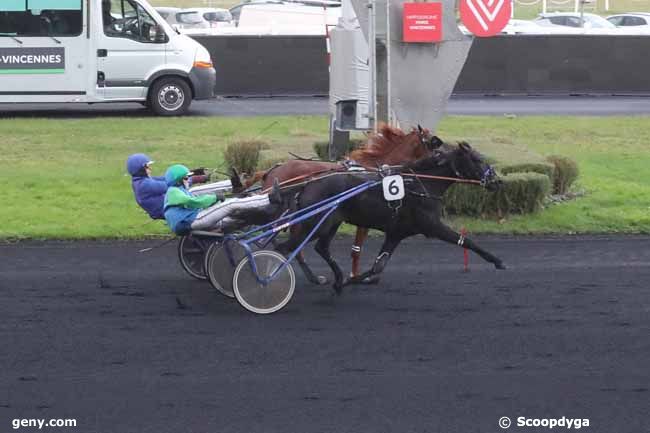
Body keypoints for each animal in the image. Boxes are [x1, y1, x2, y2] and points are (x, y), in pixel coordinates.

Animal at [240, 124, 438, 284]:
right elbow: (357, 249)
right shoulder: (364, 218)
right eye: (434, 144)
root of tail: (270, 171)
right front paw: (357, 276)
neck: (376, 170)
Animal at [274, 140, 506, 292]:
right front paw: (497, 261)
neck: (421, 184)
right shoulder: (432, 227)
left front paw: (351, 281)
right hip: (316, 223)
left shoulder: (397, 233)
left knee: (320, 248)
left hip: (331, 222)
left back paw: (336, 278)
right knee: (285, 248)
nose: (497, 181)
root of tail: (306, 184)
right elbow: (466, 241)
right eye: (477, 159)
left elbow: (378, 265)